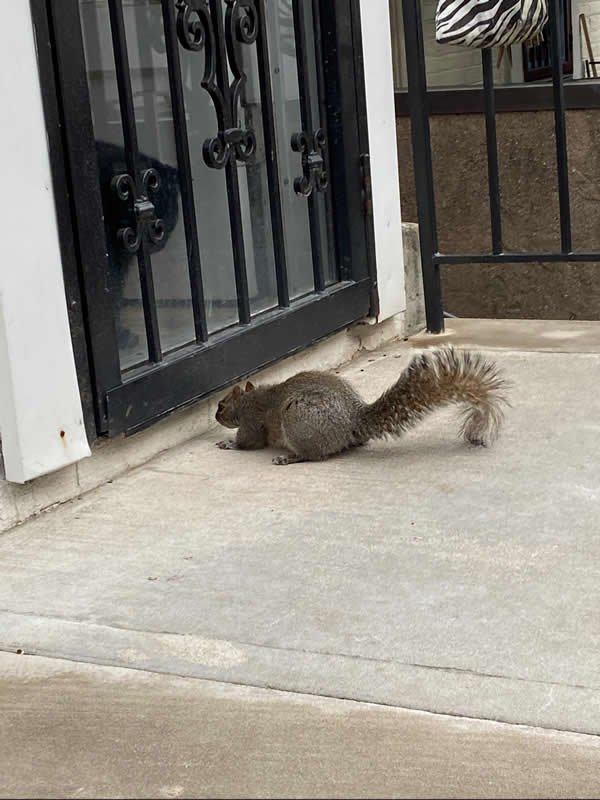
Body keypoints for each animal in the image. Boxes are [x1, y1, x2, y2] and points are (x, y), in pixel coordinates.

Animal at [216, 346, 506, 466]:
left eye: (220, 406)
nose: (217, 417)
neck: (247, 399)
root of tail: (352, 421)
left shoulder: (252, 419)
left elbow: (250, 441)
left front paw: (229, 443)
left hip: (298, 419)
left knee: (314, 456)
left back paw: (288, 457)